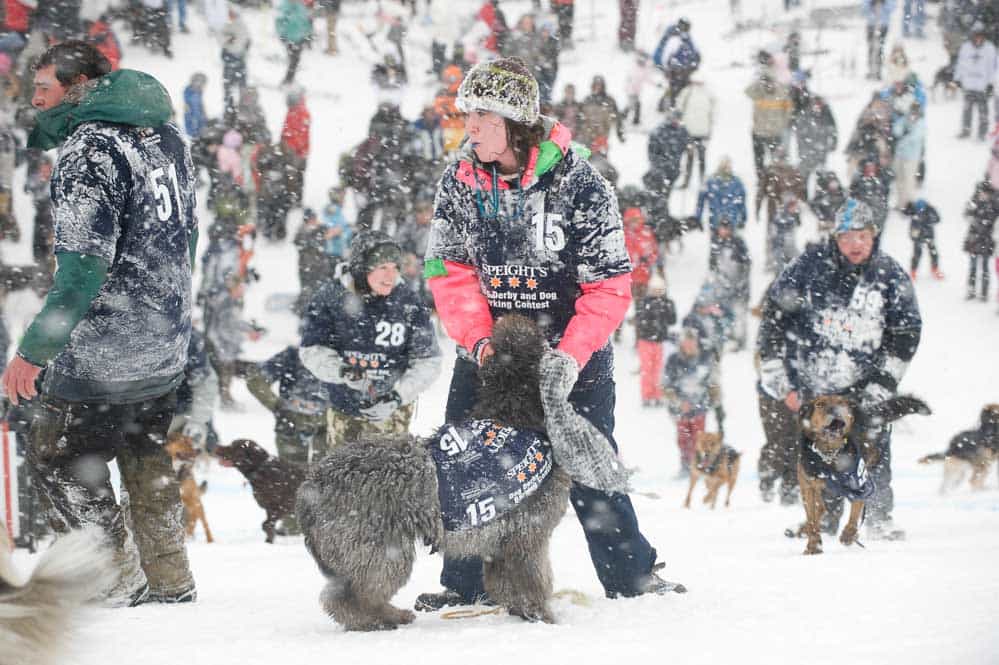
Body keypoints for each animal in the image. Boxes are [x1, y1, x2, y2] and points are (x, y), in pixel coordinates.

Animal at [796, 394, 928, 556]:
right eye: (820, 404)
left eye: (841, 403)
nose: (834, 410)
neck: (830, 453)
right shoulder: (808, 487)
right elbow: (812, 518)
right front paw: (813, 546)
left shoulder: (861, 484)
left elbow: (855, 511)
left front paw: (849, 534)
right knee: (821, 508)